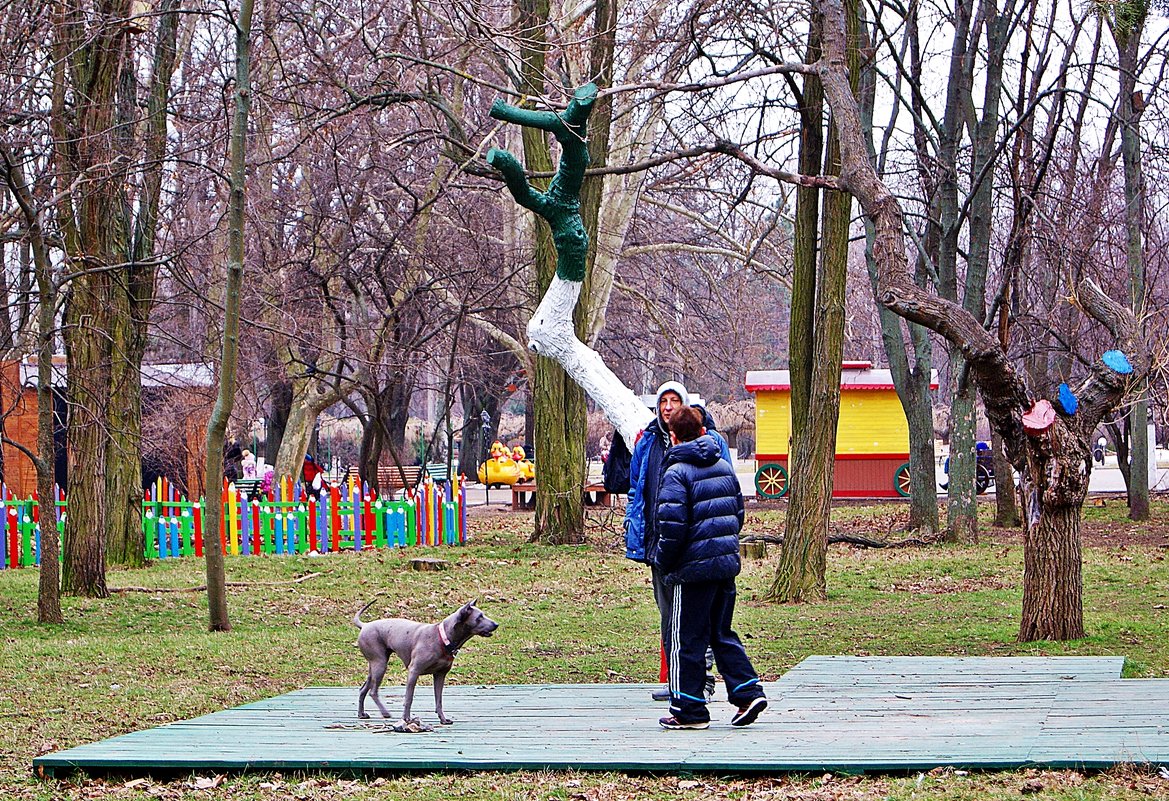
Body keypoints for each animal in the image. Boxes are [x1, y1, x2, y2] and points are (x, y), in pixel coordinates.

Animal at [346, 596, 493, 720]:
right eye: (479, 617)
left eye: (483, 614)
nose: (496, 624)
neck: (442, 638)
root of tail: (365, 625)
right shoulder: (414, 671)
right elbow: (409, 698)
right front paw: (406, 718)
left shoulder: (440, 675)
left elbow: (439, 700)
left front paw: (443, 719)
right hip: (380, 664)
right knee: (373, 692)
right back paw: (385, 712)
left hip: (374, 665)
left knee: (363, 689)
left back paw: (361, 714)